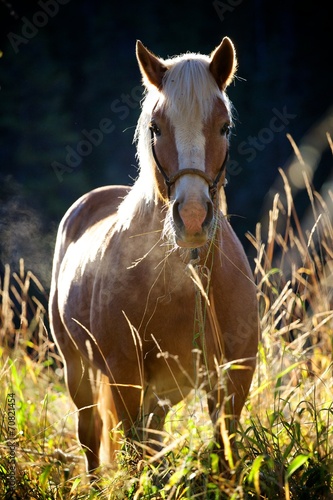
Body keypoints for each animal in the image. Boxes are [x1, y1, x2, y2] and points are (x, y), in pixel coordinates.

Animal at [48, 37, 258, 470]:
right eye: (155, 128)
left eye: (225, 126)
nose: (192, 218)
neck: (188, 283)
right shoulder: (125, 375)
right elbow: (131, 456)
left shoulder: (233, 376)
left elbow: (224, 448)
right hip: (77, 369)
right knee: (91, 438)